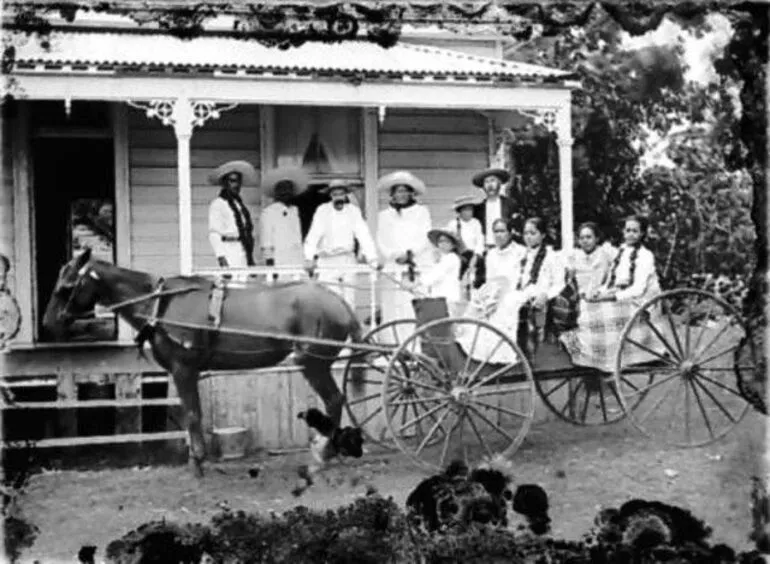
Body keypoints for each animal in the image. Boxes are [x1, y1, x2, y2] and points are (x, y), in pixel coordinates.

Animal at [42, 250, 366, 476]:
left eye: (66, 286)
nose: (47, 324)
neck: (160, 305)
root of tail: (339, 302)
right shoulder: (188, 372)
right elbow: (192, 414)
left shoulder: (183, 370)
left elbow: (192, 415)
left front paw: (196, 462)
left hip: (313, 363)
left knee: (334, 400)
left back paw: (325, 451)